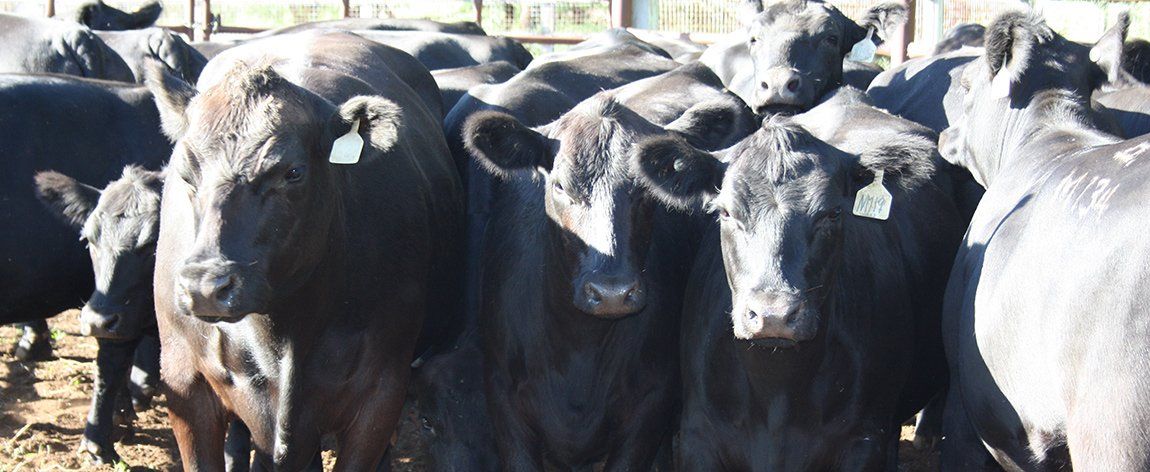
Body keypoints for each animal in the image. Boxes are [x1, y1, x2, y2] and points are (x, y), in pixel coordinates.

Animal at [146, 29, 463, 470]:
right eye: (186, 172)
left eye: (292, 172)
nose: (205, 286)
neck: (284, 331)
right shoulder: (184, 383)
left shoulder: (381, 393)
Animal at [461, 61, 756, 470]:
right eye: (559, 186)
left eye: (646, 189)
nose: (612, 292)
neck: (578, 349)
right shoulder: (503, 396)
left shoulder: (651, 401)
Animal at [633, 87, 963, 470]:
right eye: (725, 212)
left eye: (833, 213)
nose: (773, 315)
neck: (778, 391)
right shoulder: (697, 438)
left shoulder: (863, 441)